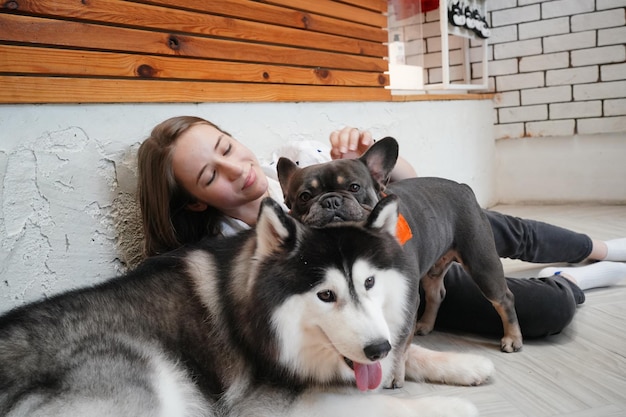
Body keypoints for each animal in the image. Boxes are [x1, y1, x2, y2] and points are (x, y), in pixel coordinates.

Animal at [0, 197, 488, 414]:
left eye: (369, 282)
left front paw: (463, 365)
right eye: (325, 295)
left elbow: (409, 352)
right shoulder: (267, 403)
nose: (376, 350)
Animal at [278, 136, 520, 352]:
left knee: (504, 298)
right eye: (304, 196)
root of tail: (464, 188)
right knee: (436, 293)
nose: (330, 200)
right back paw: (425, 325)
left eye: (354, 187)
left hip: (481, 263)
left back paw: (512, 338)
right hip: (434, 270)